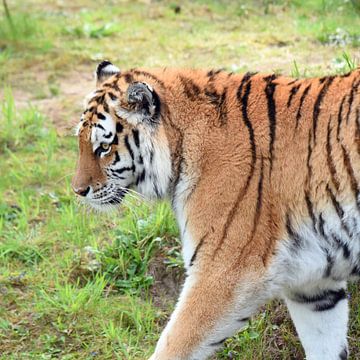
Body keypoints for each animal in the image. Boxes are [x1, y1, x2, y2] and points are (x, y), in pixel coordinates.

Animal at [71, 61, 360, 360]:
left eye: (104, 147)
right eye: (81, 142)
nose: (78, 190)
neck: (181, 146)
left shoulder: (223, 271)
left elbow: (174, 345)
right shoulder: (312, 286)